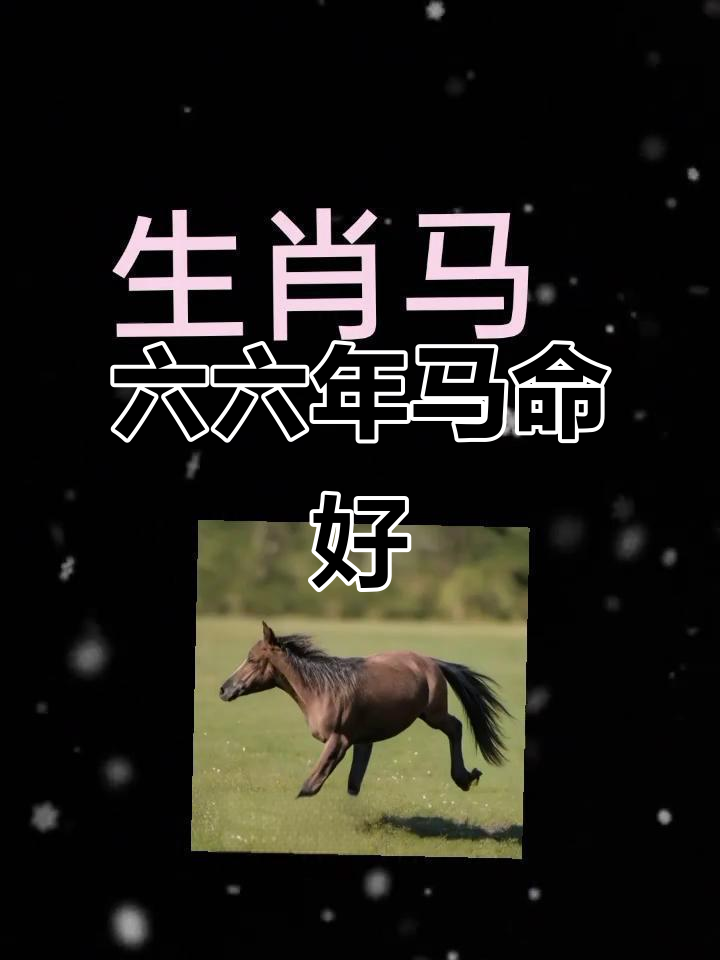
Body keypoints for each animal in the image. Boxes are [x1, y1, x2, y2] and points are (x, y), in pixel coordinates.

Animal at [219, 621, 511, 799]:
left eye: (252, 659)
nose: (224, 689)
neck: (321, 690)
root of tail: (432, 661)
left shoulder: (339, 739)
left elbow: (311, 784)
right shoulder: (358, 739)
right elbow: (351, 778)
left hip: (433, 715)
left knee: (456, 727)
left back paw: (465, 778)